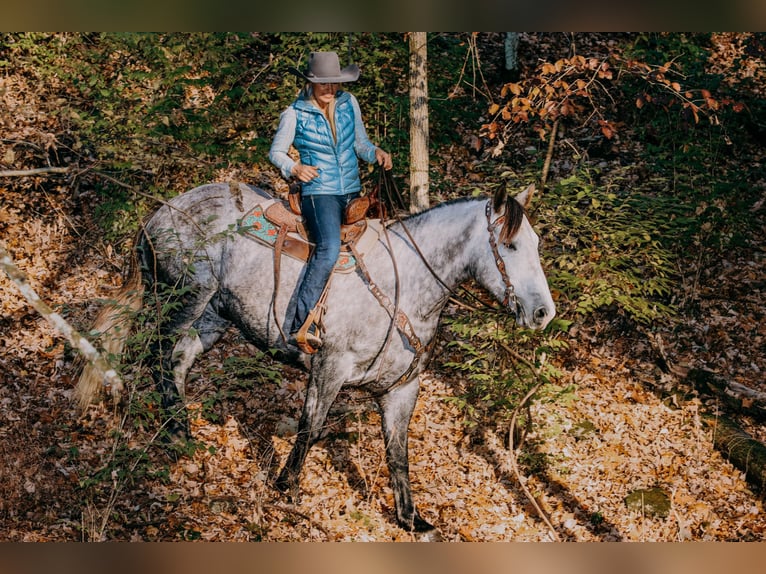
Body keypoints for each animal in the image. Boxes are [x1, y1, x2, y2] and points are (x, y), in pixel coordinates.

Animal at [76, 182, 560, 544]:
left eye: (536, 244)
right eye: (510, 245)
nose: (543, 313)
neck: (405, 284)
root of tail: (160, 213)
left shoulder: (402, 389)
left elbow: (398, 452)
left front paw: (410, 519)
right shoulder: (329, 367)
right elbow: (312, 425)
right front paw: (287, 487)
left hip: (214, 317)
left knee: (177, 362)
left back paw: (181, 429)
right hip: (184, 298)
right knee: (156, 354)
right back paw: (172, 432)